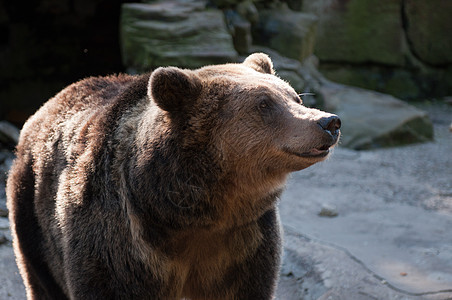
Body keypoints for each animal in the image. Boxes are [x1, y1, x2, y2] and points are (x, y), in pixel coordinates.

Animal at [6, 52, 340, 298]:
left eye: (295, 97)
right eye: (264, 103)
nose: (328, 122)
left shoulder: (244, 242)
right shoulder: (119, 238)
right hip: (32, 213)